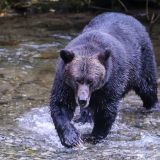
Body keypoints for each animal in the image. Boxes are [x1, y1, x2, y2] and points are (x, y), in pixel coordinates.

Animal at [50, 12, 158, 148]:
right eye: (77, 80)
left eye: (90, 81)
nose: (82, 100)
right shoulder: (64, 82)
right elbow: (61, 104)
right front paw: (71, 138)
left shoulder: (111, 80)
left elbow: (106, 109)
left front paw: (93, 135)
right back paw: (84, 117)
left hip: (142, 61)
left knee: (148, 87)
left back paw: (153, 106)